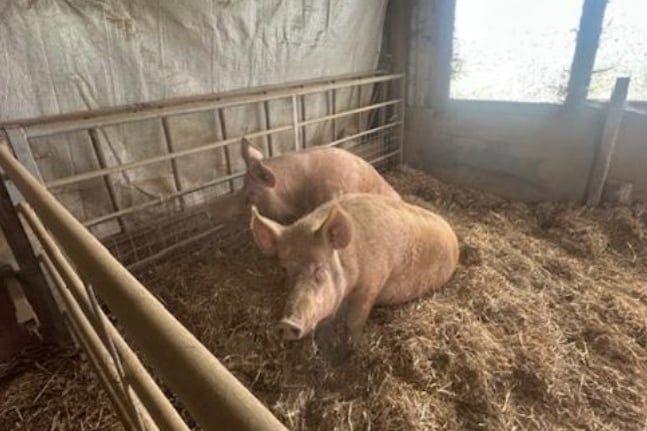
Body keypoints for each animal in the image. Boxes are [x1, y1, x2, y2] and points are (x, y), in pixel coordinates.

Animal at [249, 193, 460, 342]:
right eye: (284, 270)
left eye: (320, 270)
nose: (286, 324)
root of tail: (454, 238)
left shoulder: (371, 286)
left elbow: (354, 321)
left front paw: (355, 345)